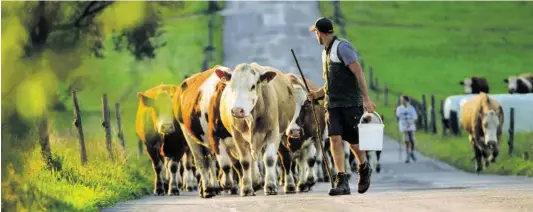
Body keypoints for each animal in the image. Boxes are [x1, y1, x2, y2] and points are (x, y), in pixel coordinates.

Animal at [215, 63, 300, 197]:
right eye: (231, 86)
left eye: (253, 86)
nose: (237, 110)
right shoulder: (237, 136)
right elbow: (245, 161)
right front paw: (246, 188)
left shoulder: (273, 132)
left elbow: (269, 159)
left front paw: (270, 186)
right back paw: (255, 183)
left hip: (283, 134)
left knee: (286, 157)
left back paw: (290, 185)